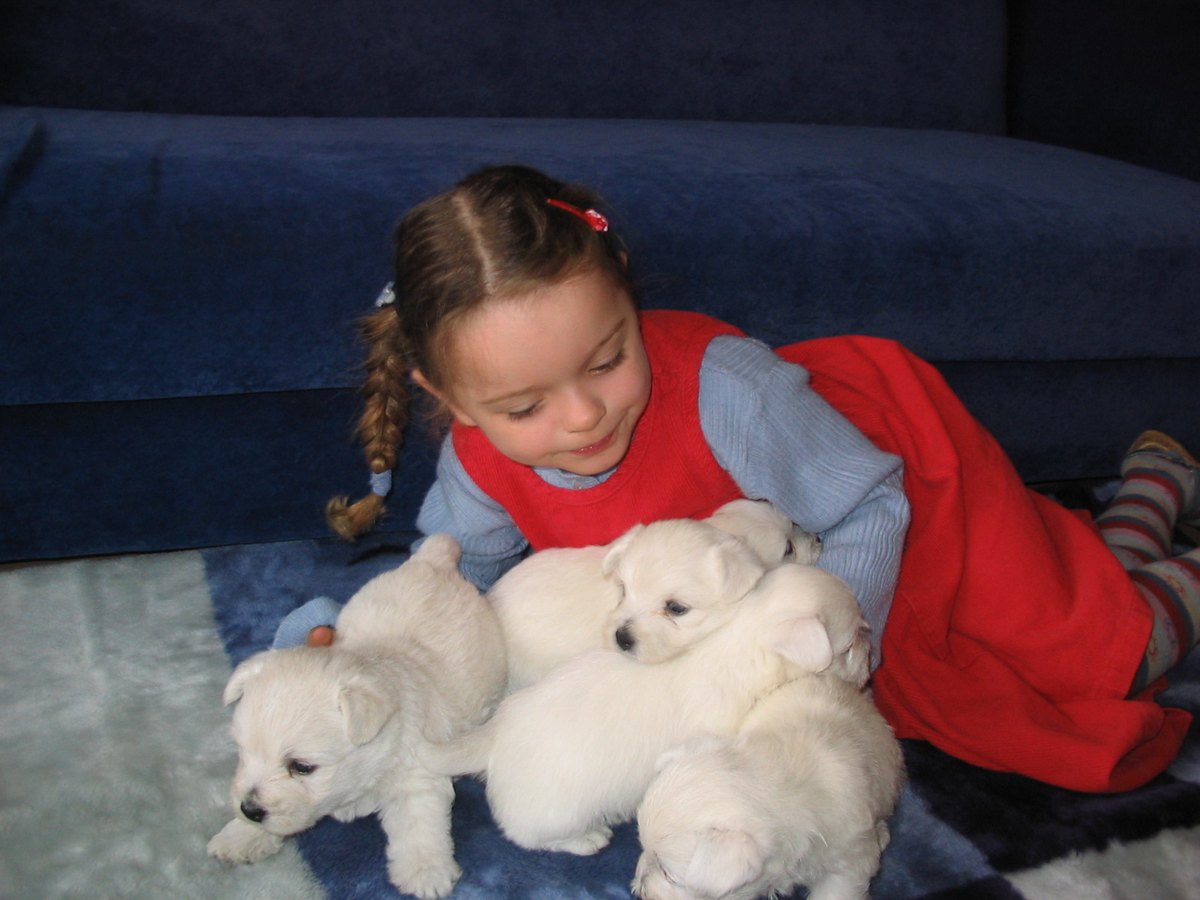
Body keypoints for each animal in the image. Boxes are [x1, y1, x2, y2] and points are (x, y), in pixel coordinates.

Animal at [206, 534, 506, 899]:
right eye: (243, 752)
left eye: (301, 767)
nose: (249, 810)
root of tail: (432, 560)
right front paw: (241, 836)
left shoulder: (416, 779)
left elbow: (419, 826)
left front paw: (425, 872)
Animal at [421, 520, 866, 856]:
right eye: (848, 645)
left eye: (676, 608)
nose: (870, 656)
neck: (738, 636)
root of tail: (493, 737)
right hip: (550, 814)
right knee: (529, 836)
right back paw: (587, 839)